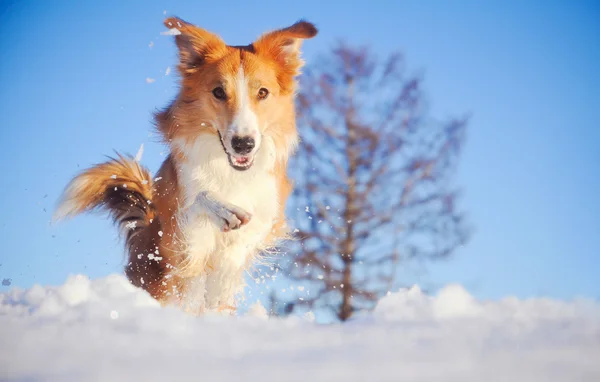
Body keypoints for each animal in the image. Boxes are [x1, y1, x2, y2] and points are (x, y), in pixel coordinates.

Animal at [55, 16, 318, 314]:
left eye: (263, 92)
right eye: (218, 92)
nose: (243, 144)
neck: (231, 173)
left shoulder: (266, 216)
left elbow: (233, 258)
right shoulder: (180, 229)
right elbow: (200, 200)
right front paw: (223, 210)